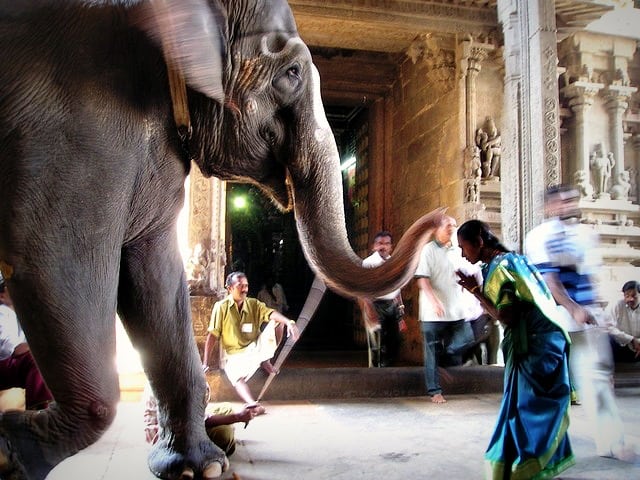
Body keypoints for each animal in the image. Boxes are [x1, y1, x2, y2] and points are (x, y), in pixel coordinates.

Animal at [0, 0, 442, 480]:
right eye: (291, 73)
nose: (441, 218)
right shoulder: (73, 130)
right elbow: (56, 259)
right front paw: (13, 450)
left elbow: (155, 273)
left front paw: (198, 467)